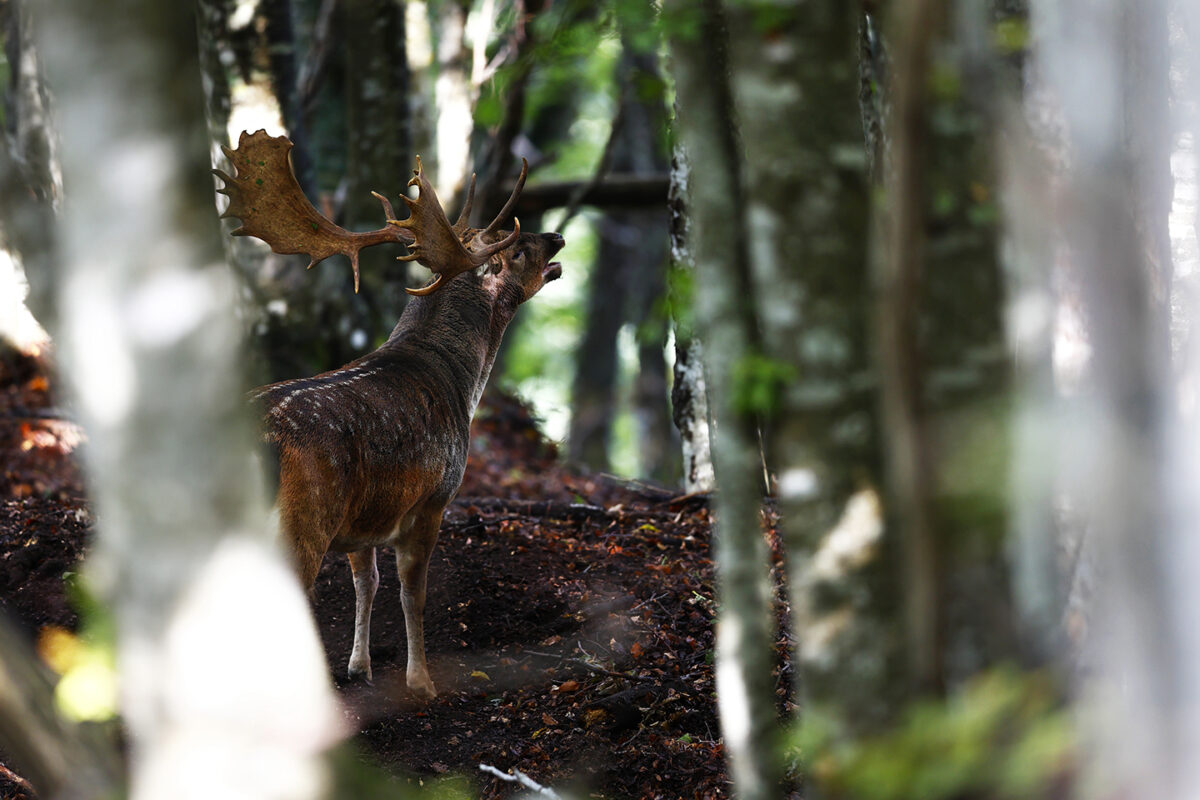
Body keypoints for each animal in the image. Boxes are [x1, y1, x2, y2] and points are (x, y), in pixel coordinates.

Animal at [213, 128, 564, 695]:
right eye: (517, 246)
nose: (555, 237)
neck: (458, 381)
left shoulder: (366, 516)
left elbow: (367, 582)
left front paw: (361, 666)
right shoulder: (433, 497)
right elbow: (411, 592)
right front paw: (421, 682)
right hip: (302, 518)